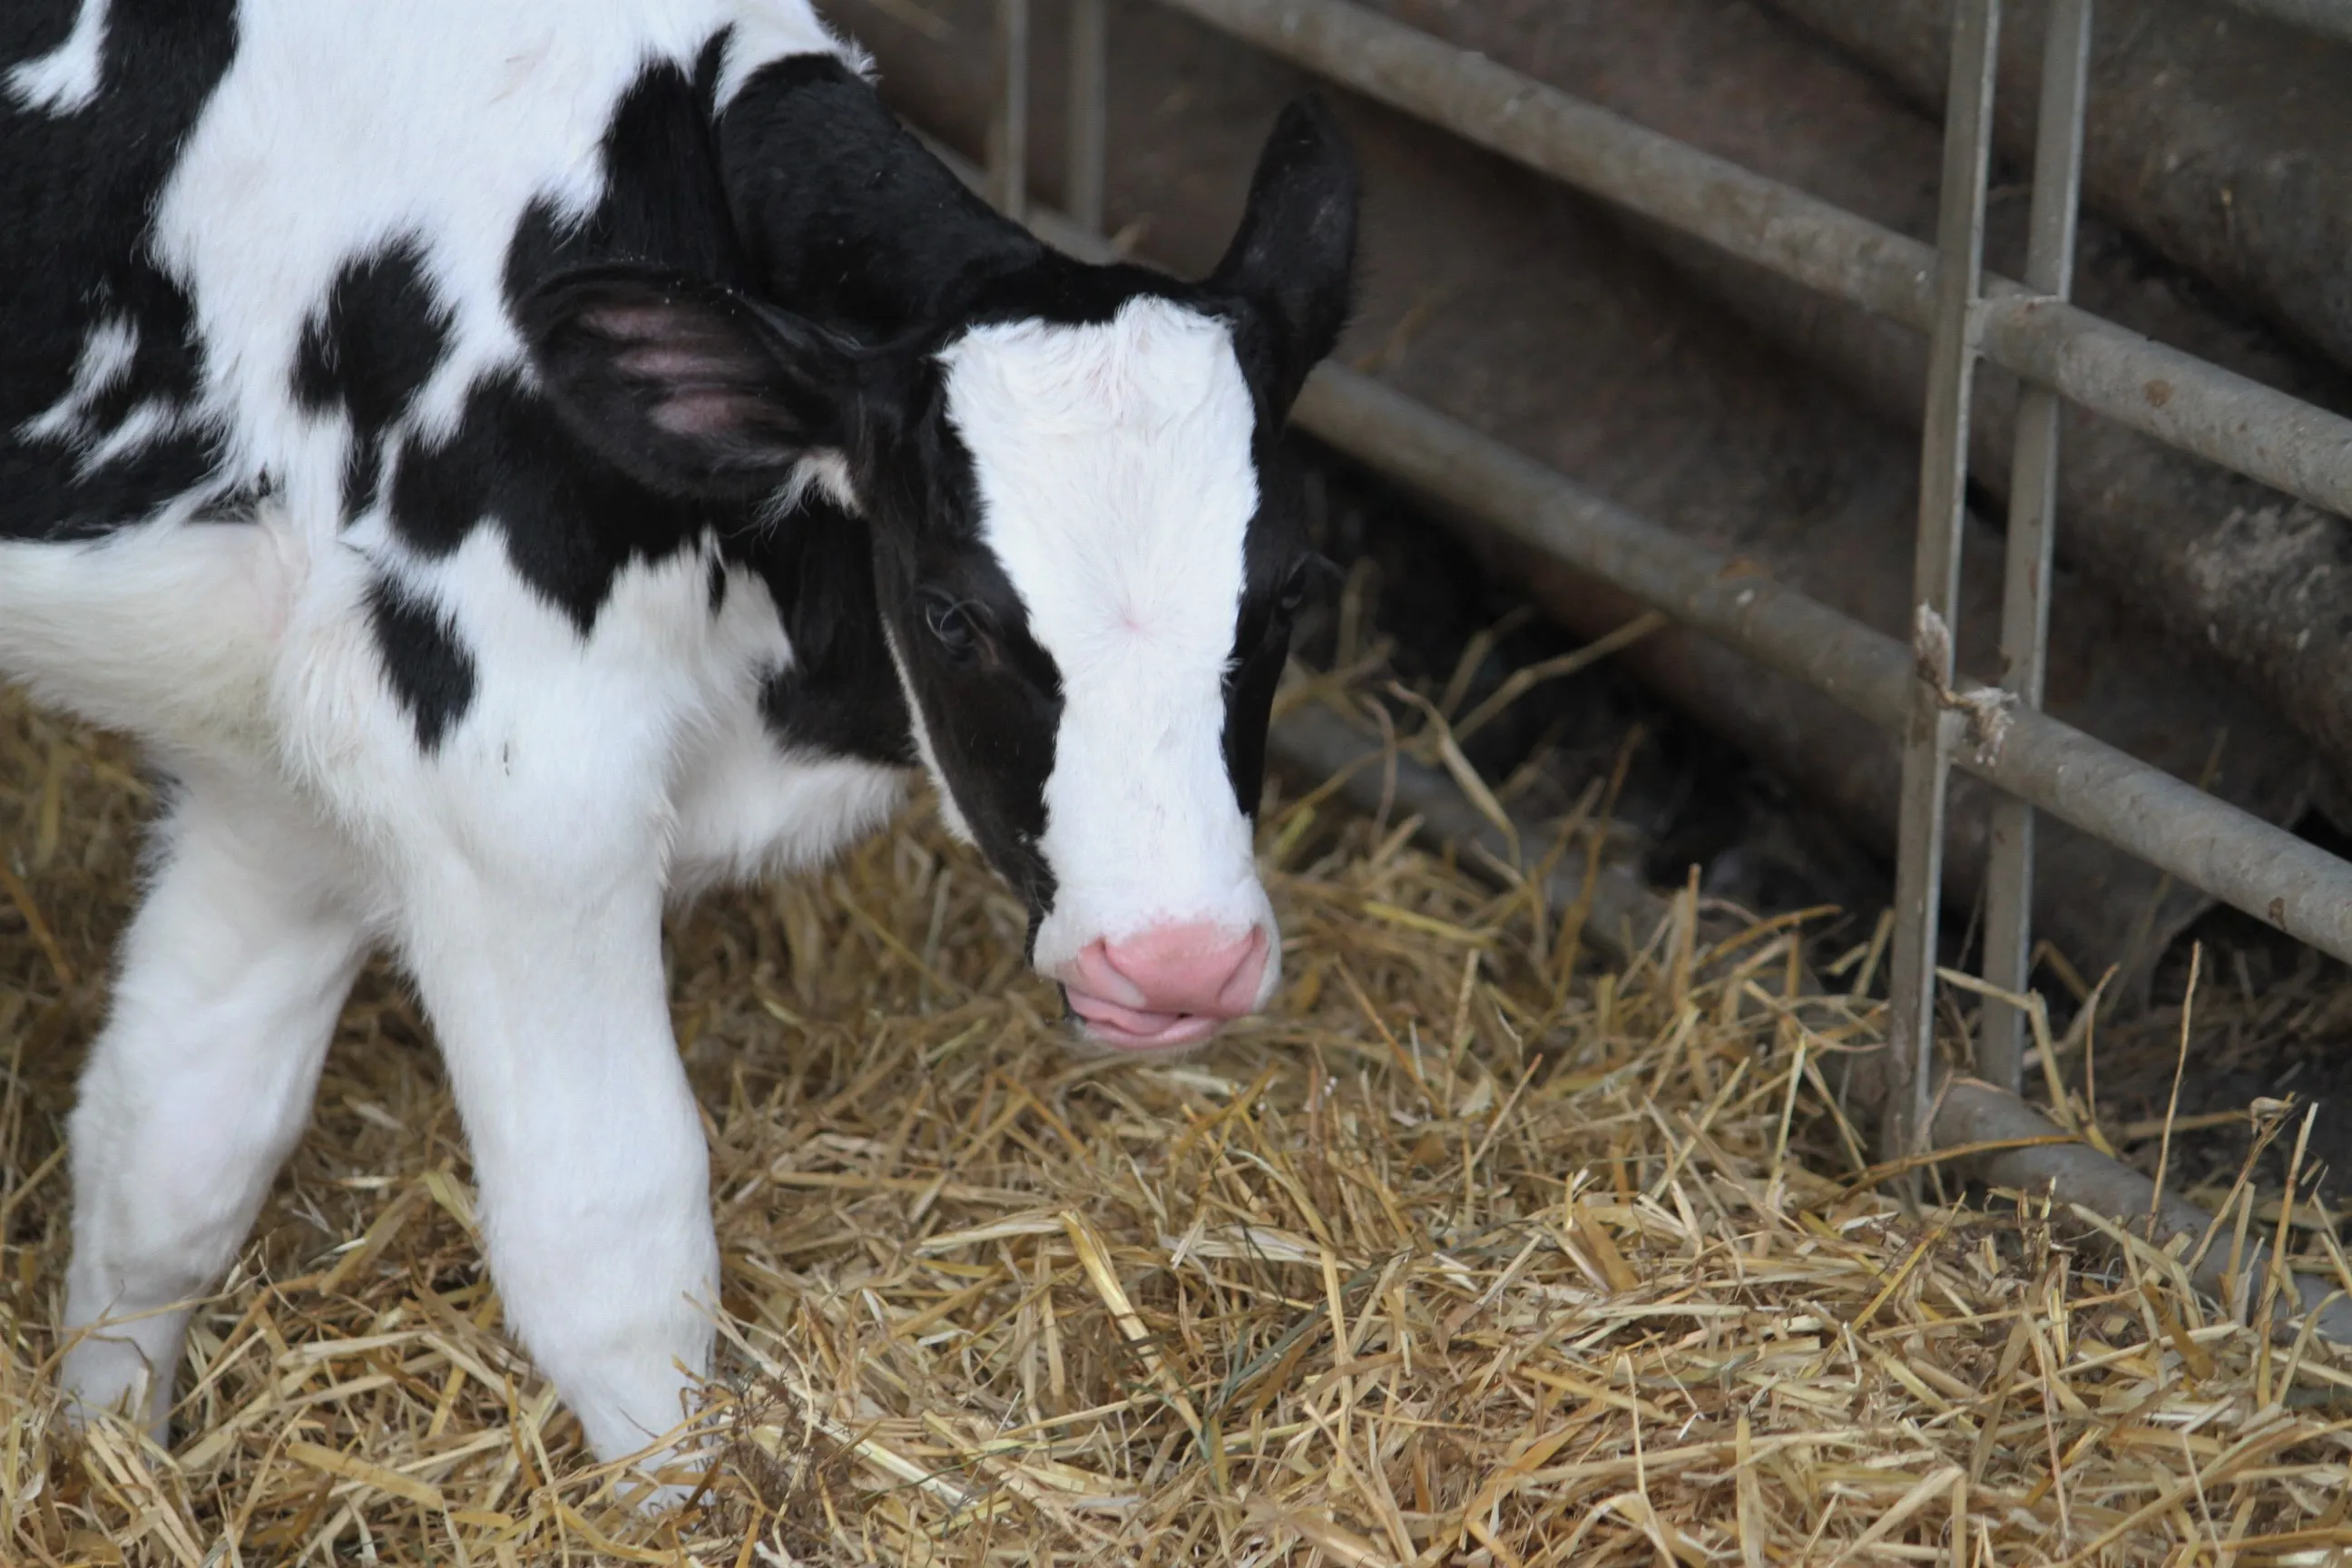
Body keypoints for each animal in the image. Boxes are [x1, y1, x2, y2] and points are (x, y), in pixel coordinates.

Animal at [0, 0, 1355, 1480]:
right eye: (950, 614)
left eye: (1293, 589)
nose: (1178, 962)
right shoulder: (516, 783)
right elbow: (612, 1250)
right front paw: (700, 1500)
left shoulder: (290, 782)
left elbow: (167, 1150)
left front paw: (105, 1465)